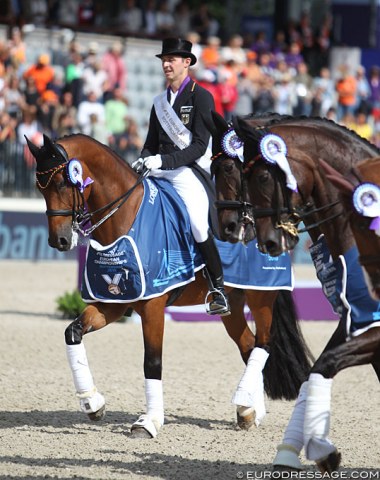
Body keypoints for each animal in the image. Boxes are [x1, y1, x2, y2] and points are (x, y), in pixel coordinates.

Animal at [26, 132, 312, 438]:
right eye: (39, 187)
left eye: (61, 182)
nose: (59, 241)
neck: (126, 217)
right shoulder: (113, 302)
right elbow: (73, 332)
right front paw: (93, 403)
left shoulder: (153, 306)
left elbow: (152, 362)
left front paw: (148, 422)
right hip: (233, 304)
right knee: (248, 345)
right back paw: (248, 409)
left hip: (261, 296)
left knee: (264, 344)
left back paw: (247, 404)